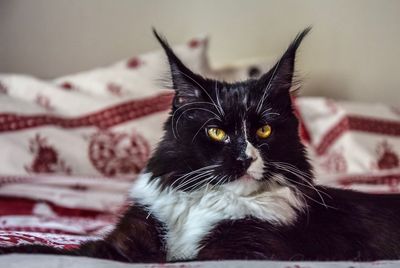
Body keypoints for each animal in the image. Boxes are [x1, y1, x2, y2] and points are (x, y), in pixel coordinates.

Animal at [2, 28, 400, 262]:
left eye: (264, 131)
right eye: (216, 133)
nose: (244, 158)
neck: (204, 205)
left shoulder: (248, 250)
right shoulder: (129, 235)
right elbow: (77, 251)